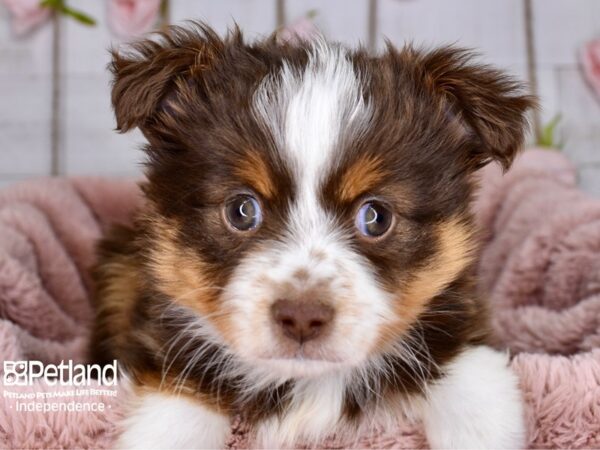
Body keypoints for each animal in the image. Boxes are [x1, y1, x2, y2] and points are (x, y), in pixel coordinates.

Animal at [92, 22, 536, 450]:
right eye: (241, 210)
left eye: (376, 217)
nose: (302, 318)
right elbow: (177, 406)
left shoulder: (461, 317)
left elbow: (472, 378)